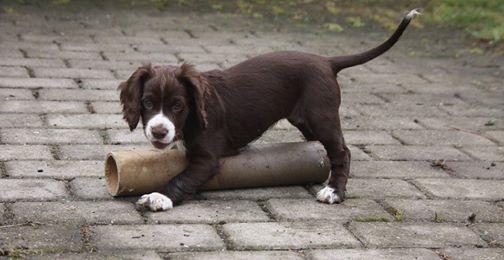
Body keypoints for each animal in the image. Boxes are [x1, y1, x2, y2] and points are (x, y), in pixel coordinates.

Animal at [120, 9, 420, 211]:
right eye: (147, 103)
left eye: (178, 105)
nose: (159, 132)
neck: (194, 115)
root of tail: (326, 61)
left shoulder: (208, 157)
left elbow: (182, 178)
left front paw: (159, 197)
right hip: (306, 120)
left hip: (322, 115)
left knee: (342, 152)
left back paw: (334, 191)